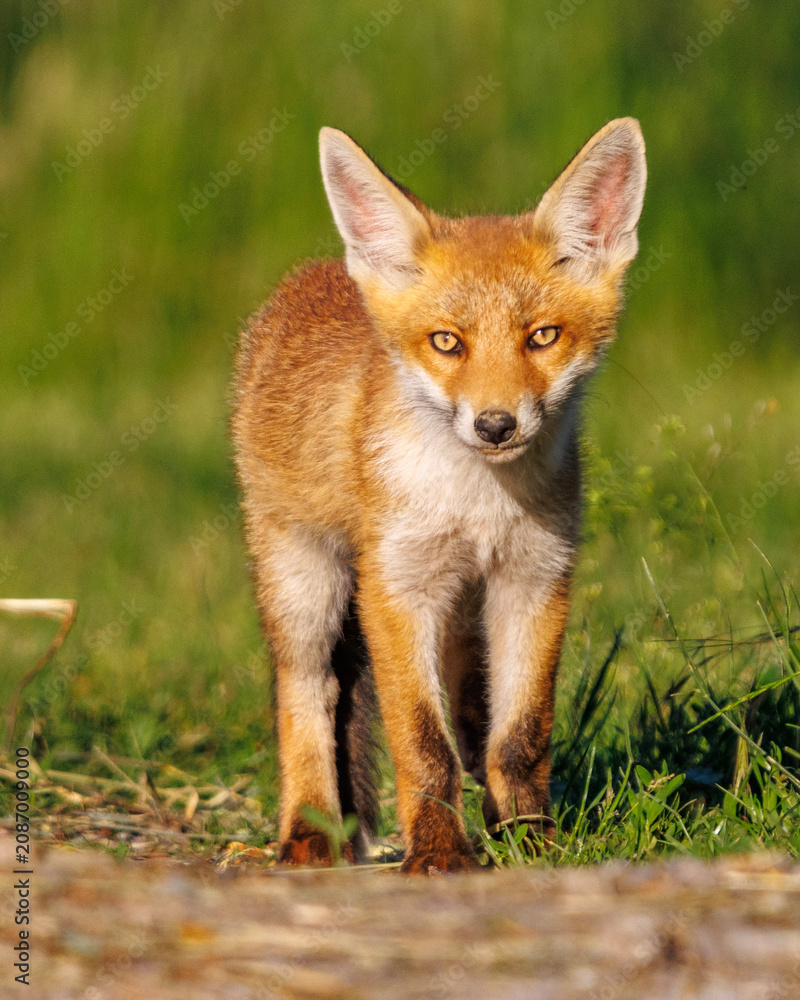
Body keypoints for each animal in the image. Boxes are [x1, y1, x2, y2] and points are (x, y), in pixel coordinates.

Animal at [232, 118, 646, 873]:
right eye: (448, 343)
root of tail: (319, 268)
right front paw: (438, 853)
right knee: (309, 694)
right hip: (307, 586)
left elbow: (521, 736)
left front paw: (530, 839)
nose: (495, 424)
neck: (479, 505)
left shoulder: (534, 579)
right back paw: (308, 831)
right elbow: (423, 746)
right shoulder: (397, 589)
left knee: (472, 708)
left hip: (461, 612)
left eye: (542, 336)